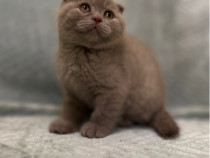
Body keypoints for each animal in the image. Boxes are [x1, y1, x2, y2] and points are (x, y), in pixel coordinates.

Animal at [49, 0, 179, 138]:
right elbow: (70, 109)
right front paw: (63, 124)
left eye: (108, 14)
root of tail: (161, 106)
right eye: (84, 7)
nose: (97, 18)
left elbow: (103, 111)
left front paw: (96, 127)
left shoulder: (112, 89)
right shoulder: (72, 89)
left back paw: (124, 121)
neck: (83, 54)